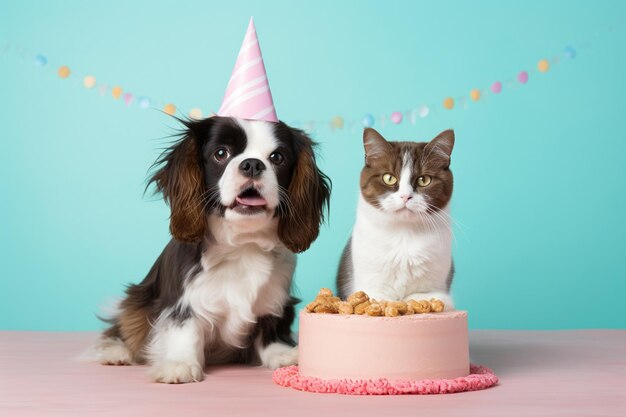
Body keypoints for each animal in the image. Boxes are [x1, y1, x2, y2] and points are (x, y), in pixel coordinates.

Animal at [91, 115, 332, 382]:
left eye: (277, 157)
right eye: (221, 153)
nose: (252, 164)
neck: (243, 244)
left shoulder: (275, 300)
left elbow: (271, 328)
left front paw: (281, 354)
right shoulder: (183, 299)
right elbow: (184, 327)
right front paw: (180, 363)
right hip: (138, 297)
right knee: (124, 324)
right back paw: (115, 352)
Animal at [336, 127, 454, 308]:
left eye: (424, 180)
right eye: (389, 178)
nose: (405, 196)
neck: (403, 235)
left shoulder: (438, 285)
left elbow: (426, 296)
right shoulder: (369, 282)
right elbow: (377, 297)